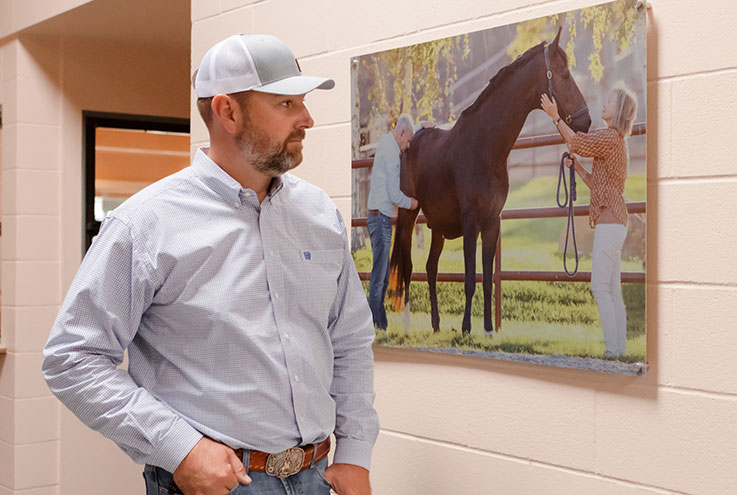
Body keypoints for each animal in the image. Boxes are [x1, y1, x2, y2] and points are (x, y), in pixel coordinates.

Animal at [386, 28, 592, 338]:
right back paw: (408, 324)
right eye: (564, 73)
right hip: (410, 215)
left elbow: (485, 279)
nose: (586, 121)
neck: (484, 147)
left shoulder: (492, 222)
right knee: (409, 266)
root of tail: (409, 142)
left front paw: (487, 330)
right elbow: (470, 277)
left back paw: (436, 325)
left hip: (437, 226)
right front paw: (466, 328)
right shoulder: (472, 222)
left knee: (431, 267)